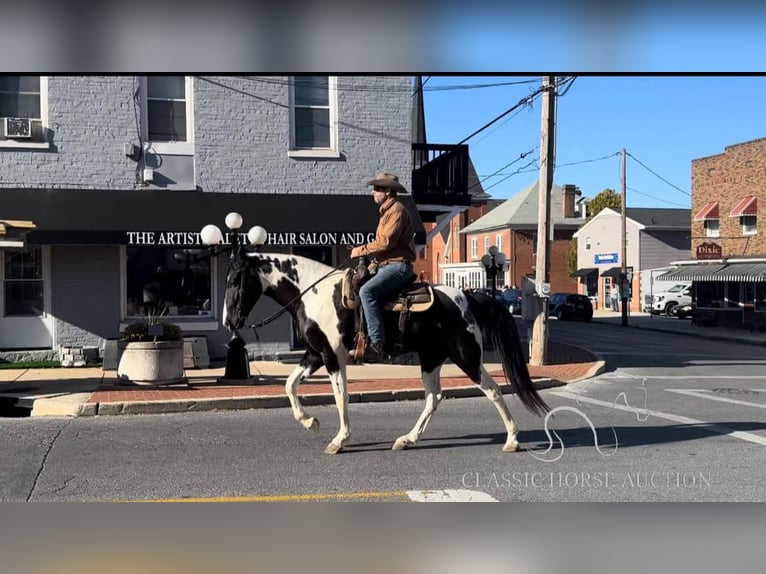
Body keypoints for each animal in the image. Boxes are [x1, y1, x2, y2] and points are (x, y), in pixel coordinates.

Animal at [224, 252, 552, 454]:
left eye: (236, 280)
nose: (229, 321)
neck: (314, 295)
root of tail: (469, 297)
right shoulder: (315, 354)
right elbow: (290, 385)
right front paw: (310, 422)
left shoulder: (332, 357)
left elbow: (340, 397)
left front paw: (339, 440)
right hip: (430, 358)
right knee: (434, 397)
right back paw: (407, 439)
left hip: (466, 356)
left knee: (493, 389)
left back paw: (512, 439)